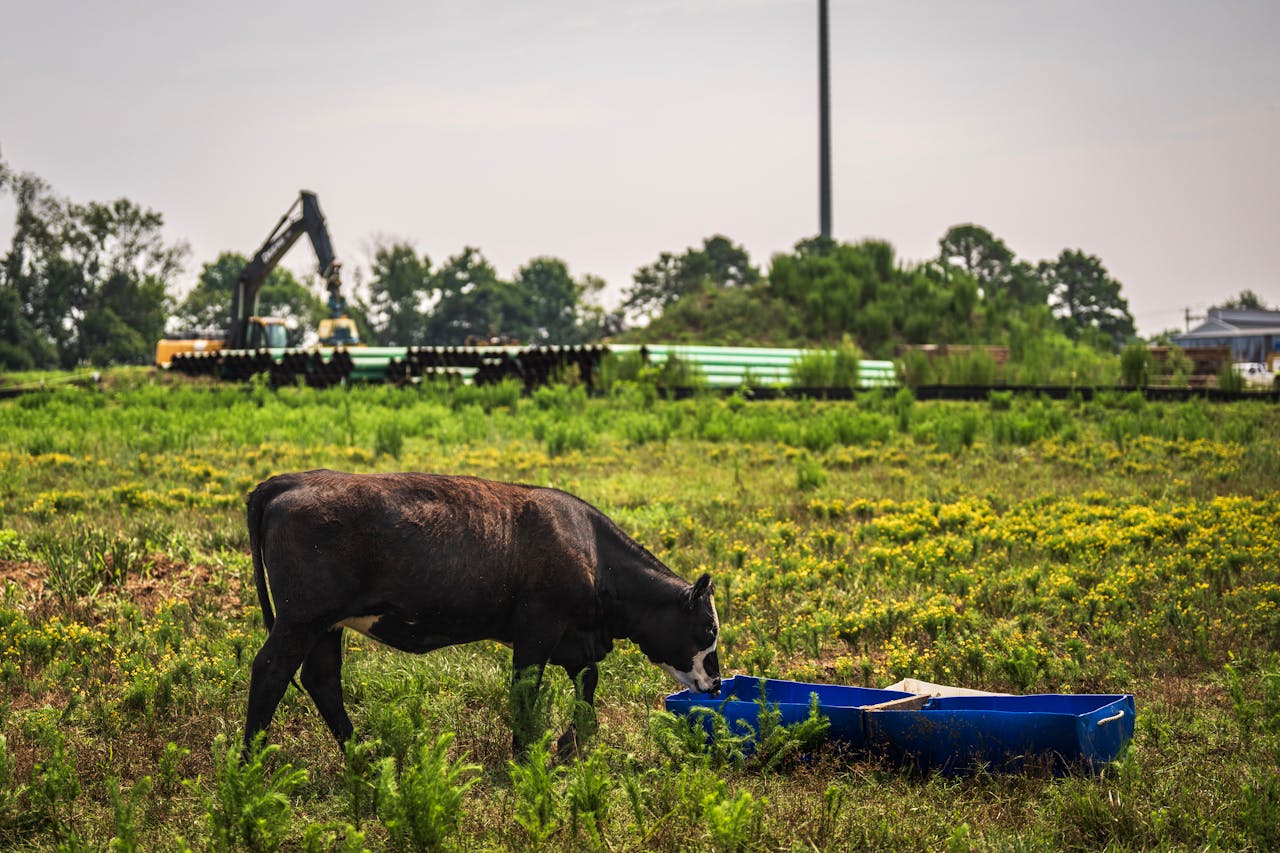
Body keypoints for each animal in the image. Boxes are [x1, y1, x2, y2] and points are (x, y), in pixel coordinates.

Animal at [243, 469, 721, 756]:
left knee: (321, 679)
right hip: (300, 620)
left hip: (324, 625)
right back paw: (249, 763)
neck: (591, 550)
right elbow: (526, 690)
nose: (717, 684)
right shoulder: (538, 630)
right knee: (270, 672)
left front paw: (570, 742)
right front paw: (524, 755)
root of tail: (290, 481)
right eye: (708, 628)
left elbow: (588, 682)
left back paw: (363, 754)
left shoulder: (574, 639)